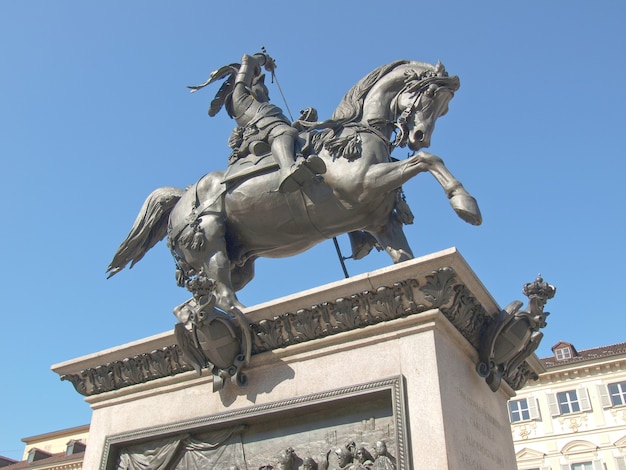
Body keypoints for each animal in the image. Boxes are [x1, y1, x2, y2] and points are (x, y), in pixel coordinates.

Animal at [107, 60, 480, 314]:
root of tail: (182, 196)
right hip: (210, 240)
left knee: (194, 304)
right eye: (430, 96)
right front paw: (465, 204)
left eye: (445, 107)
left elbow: (404, 257)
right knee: (224, 296)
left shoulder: (381, 222)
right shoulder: (362, 185)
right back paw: (244, 319)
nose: (419, 137)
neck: (355, 134)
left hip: (238, 261)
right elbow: (428, 161)